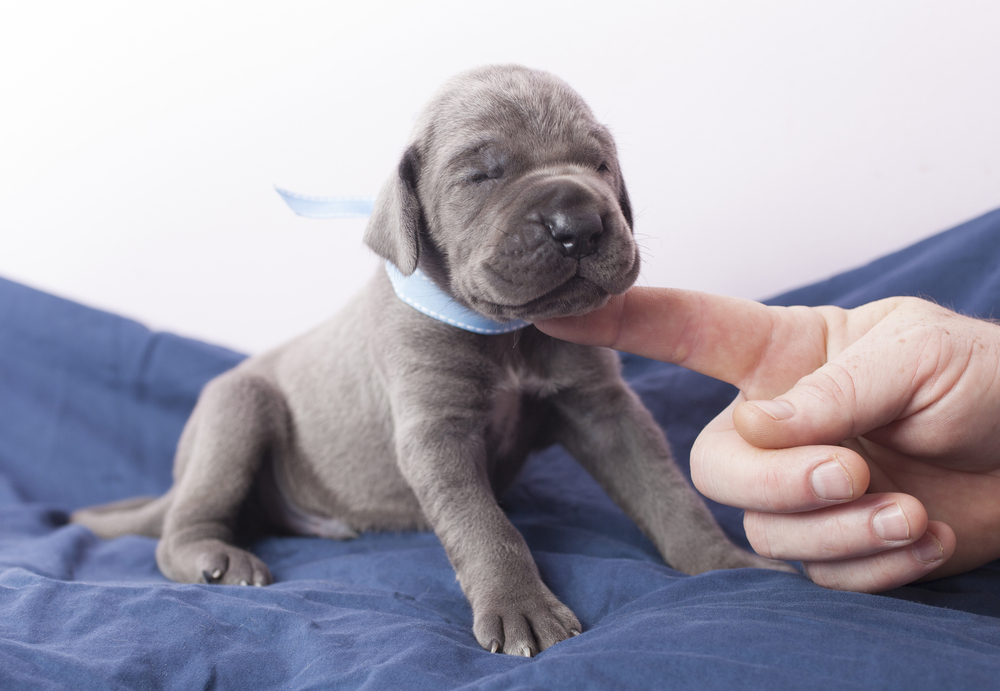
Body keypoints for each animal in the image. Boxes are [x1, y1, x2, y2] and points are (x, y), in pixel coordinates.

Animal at [72, 65, 788, 660]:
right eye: (483, 175)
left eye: (600, 164)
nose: (579, 222)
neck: (507, 332)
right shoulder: (437, 431)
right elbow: (486, 527)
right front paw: (521, 609)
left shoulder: (601, 409)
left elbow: (665, 491)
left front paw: (723, 561)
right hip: (236, 408)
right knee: (181, 527)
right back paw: (213, 557)